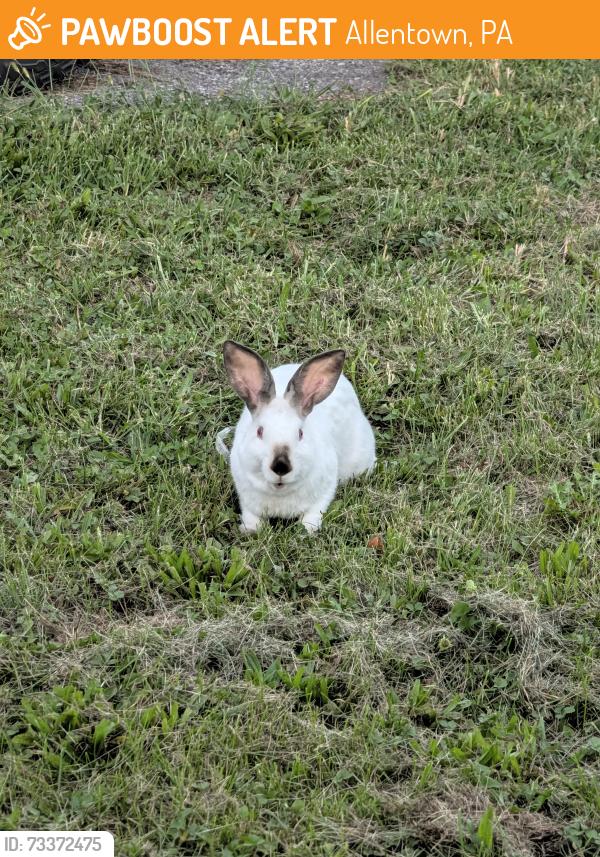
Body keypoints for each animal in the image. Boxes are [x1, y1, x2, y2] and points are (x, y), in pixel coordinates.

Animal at [223, 340, 376, 533]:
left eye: (300, 433)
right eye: (260, 431)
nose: (281, 466)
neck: (279, 492)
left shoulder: (325, 491)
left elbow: (313, 514)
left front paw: (307, 530)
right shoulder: (245, 498)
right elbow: (251, 515)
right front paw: (251, 529)